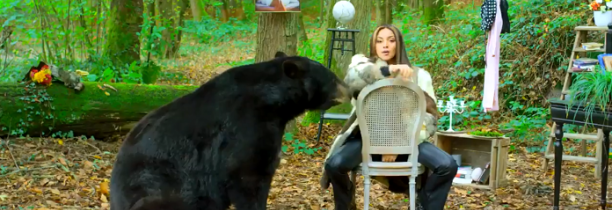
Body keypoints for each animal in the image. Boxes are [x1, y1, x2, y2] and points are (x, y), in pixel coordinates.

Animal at [110, 51, 350, 210]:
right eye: (333, 77)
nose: (349, 89)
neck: (273, 104)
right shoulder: (246, 127)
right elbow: (248, 177)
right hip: (159, 185)